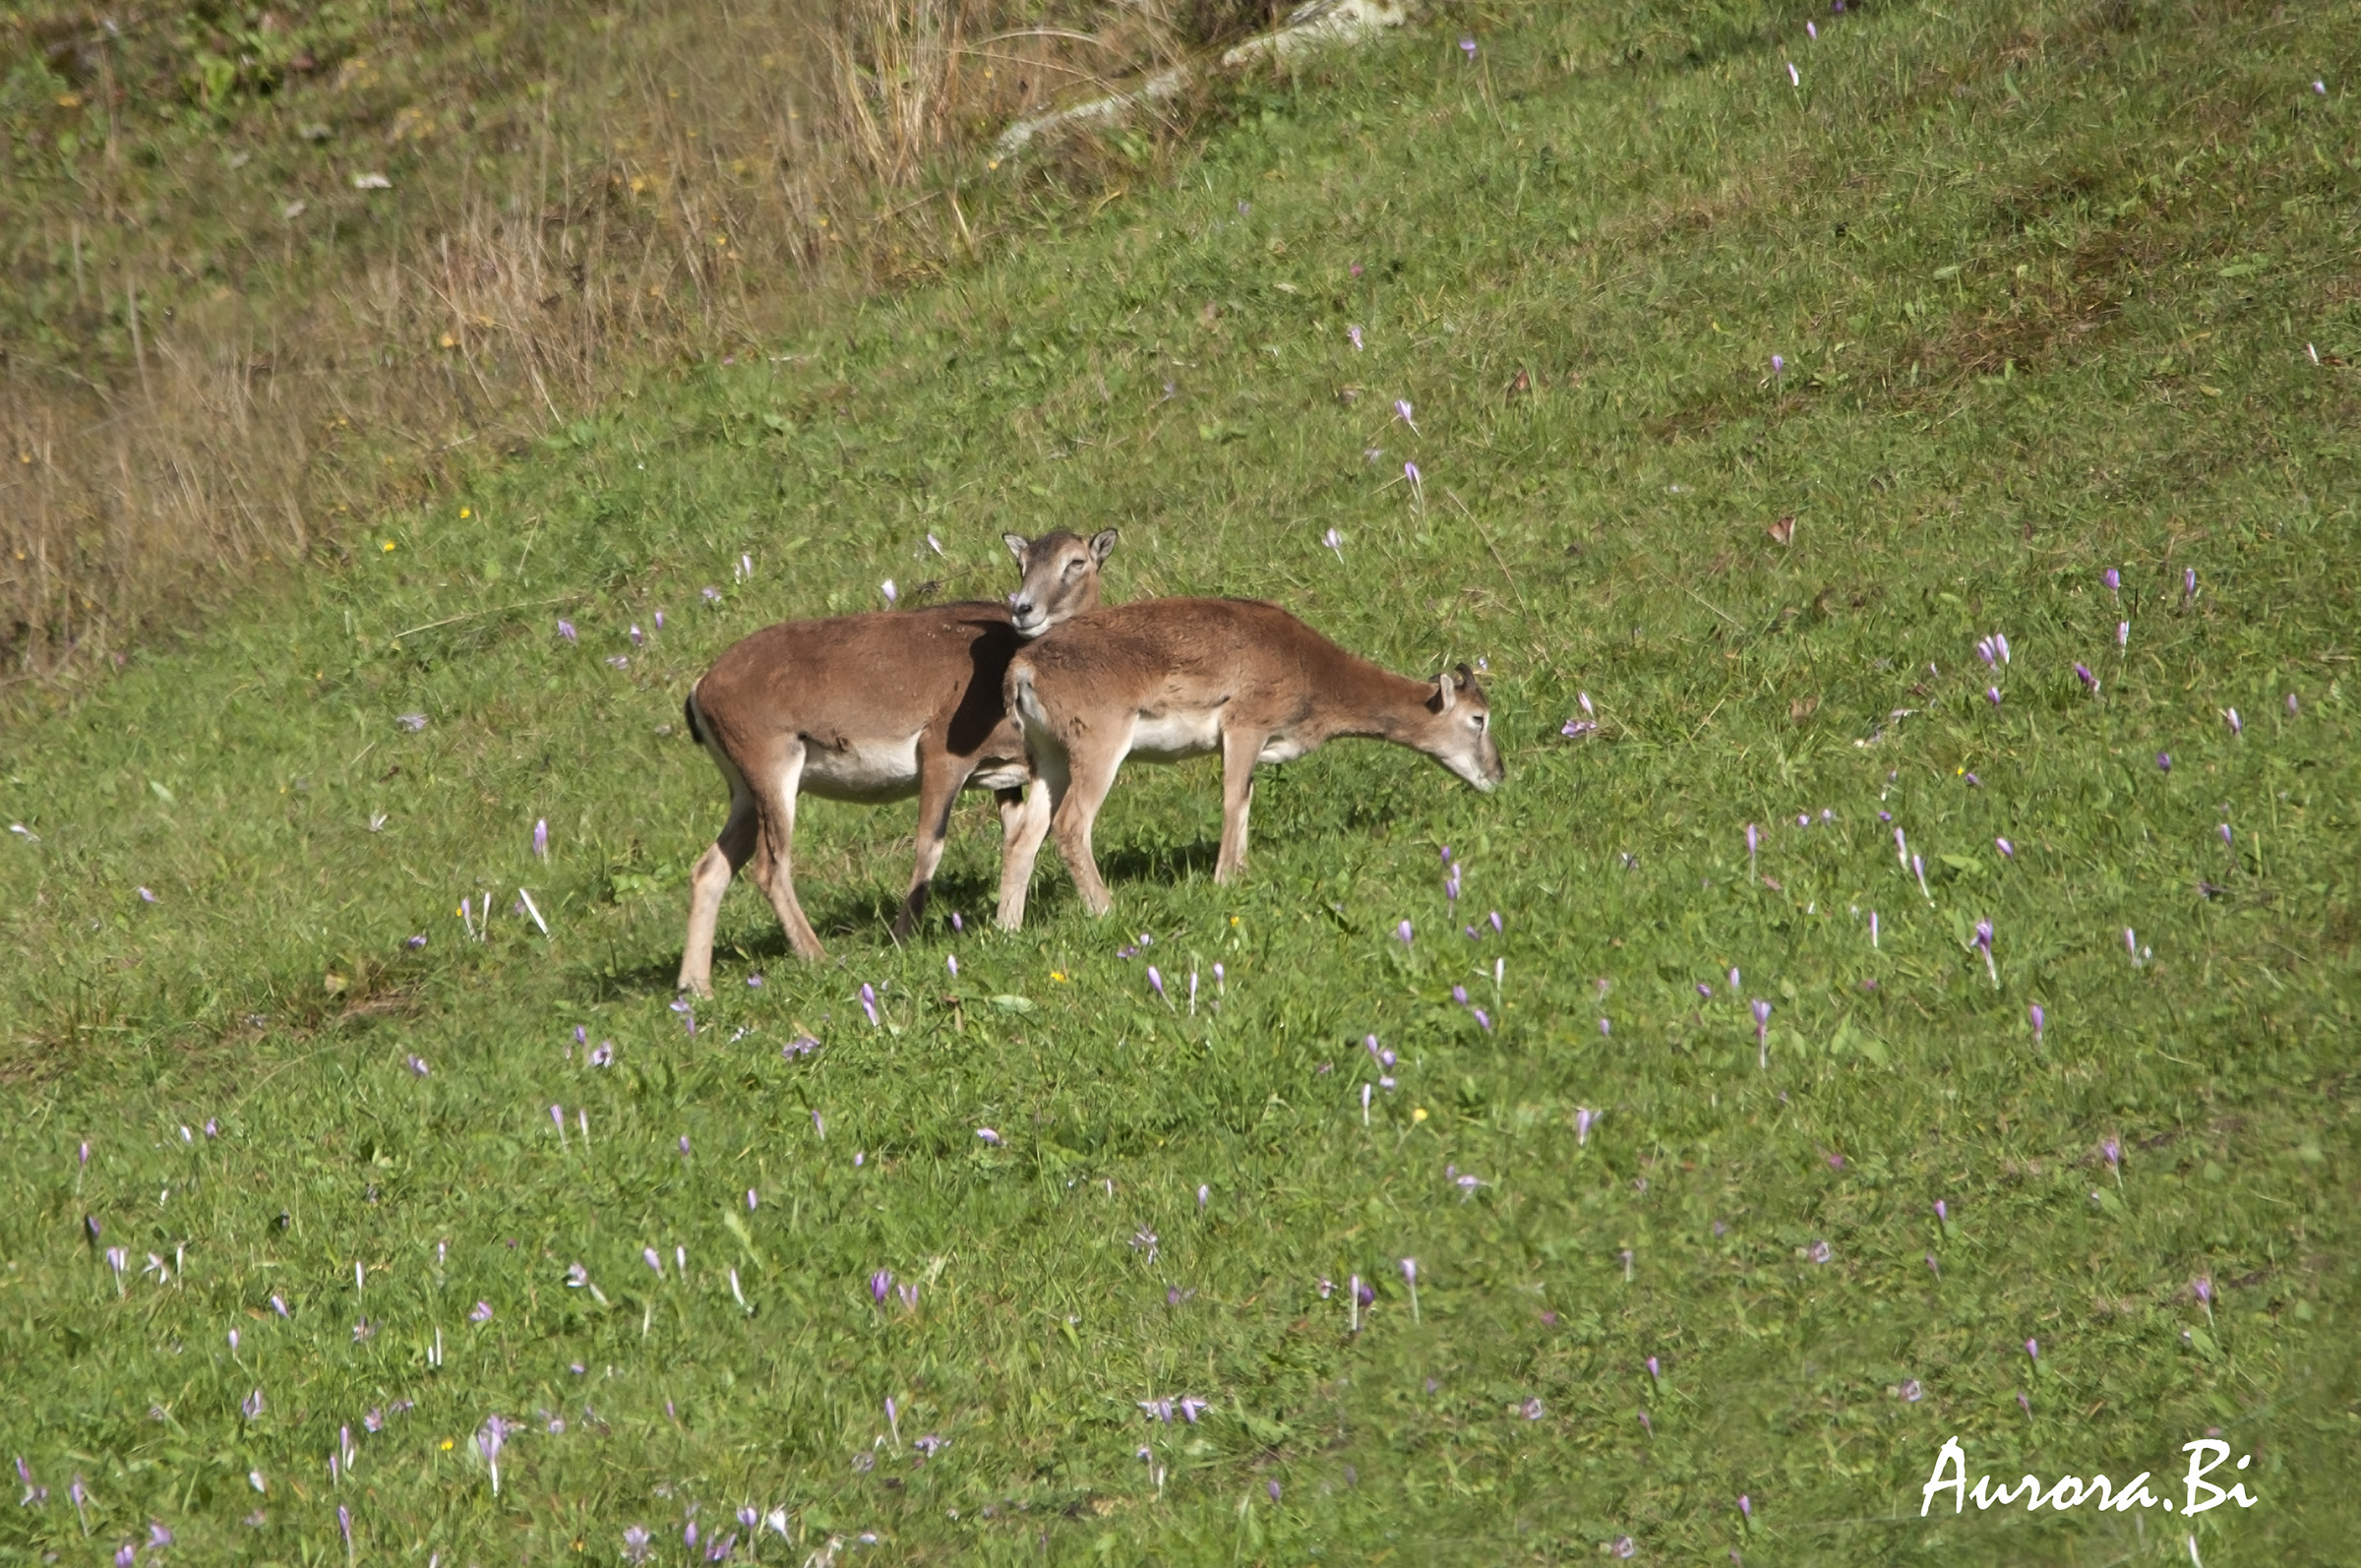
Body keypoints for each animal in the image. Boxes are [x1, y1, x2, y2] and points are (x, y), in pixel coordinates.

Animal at [676, 528, 1117, 995]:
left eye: (1076, 562)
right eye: (1023, 563)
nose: (1025, 610)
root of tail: (700, 689)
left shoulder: (1007, 779)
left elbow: (1015, 836)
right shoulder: (943, 755)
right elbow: (930, 845)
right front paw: (904, 935)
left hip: (744, 792)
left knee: (710, 869)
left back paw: (695, 986)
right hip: (772, 772)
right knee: (770, 867)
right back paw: (818, 956)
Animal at [1000, 597, 1504, 918]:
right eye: (1479, 718)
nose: (1498, 774)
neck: (1314, 676)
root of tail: (1022, 669)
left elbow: (1244, 800)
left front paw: (1241, 874)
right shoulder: (1246, 724)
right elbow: (1231, 800)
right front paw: (1224, 880)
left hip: (1048, 754)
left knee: (1024, 835)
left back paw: (1009, 927)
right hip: (1098, 744)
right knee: (1070, 825)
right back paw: (1106, 909)